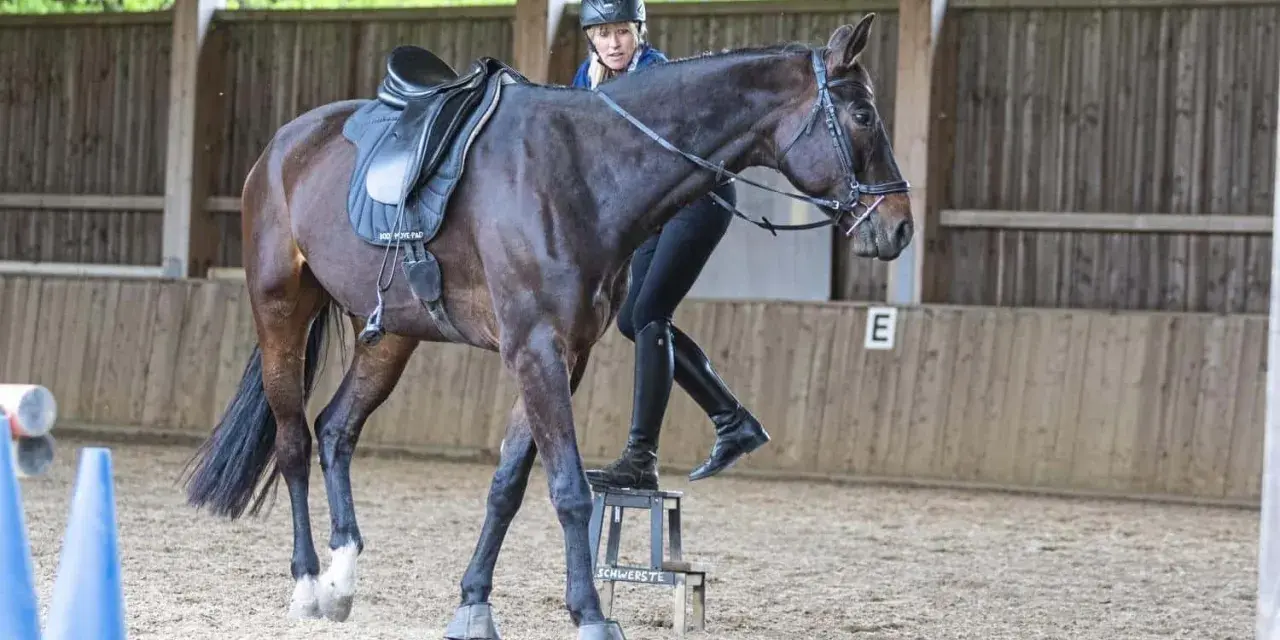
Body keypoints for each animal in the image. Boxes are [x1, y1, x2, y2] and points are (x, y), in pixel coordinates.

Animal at [181, 14, 912, 639]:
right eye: (863, 114)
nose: (899, 228)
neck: (587, 168)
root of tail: (283, 145)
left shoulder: (565, 354)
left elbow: (507, 485)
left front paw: (474, 602)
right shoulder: (535, 351)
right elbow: (568, 491)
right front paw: (590, 614)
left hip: (391, 333)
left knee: (336, 430)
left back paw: (342, 577)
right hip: (280, 310)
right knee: (293, 442)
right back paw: (308, 583)